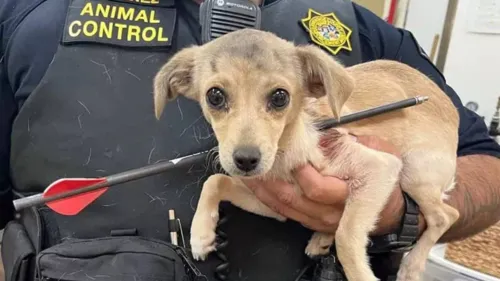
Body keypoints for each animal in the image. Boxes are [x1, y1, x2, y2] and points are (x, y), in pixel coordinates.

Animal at [153, 29, 460, 280]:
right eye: (214, 96)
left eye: (280, 97)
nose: (246, 160)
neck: (285, 154)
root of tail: (448, 104)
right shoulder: (274, 205)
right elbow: (215, 181)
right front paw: (201, 234)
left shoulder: (379, 167)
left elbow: (347, 235)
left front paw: (360, 274)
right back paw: (321, 238)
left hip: (413, 172)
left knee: (446, 215)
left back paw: (412, 266)